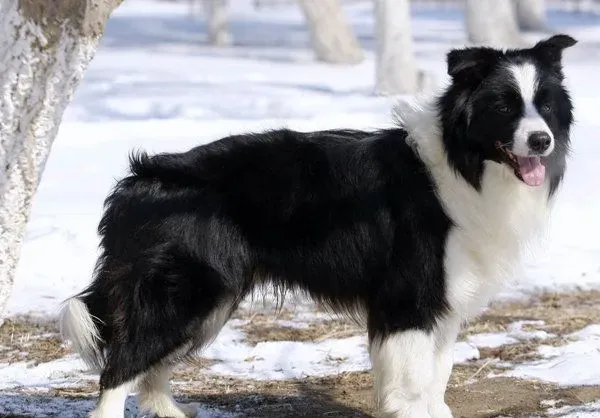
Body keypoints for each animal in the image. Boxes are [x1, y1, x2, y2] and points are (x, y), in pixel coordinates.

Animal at [59, 35, 576, 418]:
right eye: (504, 107)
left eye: (545, 106)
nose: (541, 141)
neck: (462, 163)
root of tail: (140, 178)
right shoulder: (409, 298)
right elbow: (414, 380)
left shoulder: (443, 298)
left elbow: (438, 374)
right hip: (182, 295)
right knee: (119, 372)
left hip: (211, 299)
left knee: (151, 373)